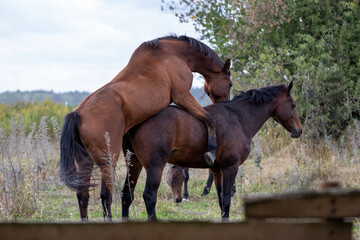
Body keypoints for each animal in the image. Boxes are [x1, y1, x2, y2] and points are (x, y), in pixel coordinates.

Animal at [59, 35, 232, 221]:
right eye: (229, 83)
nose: (225, 103)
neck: (171, 53)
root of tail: (78, 114)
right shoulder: (182, 96)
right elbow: (209, 119)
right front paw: (211, 150)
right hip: (107, 161)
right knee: (106, 197)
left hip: (85, 161)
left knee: (83, 194)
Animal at [122, 82, 302, 221]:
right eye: (293, 105)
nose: (298, 130)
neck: (237, 118)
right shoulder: (230, 168)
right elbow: (227, 201)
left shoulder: (217, 170)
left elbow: (221, 201)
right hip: (155, 166)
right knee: (149, 196)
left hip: (134, 164)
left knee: (126, 195)